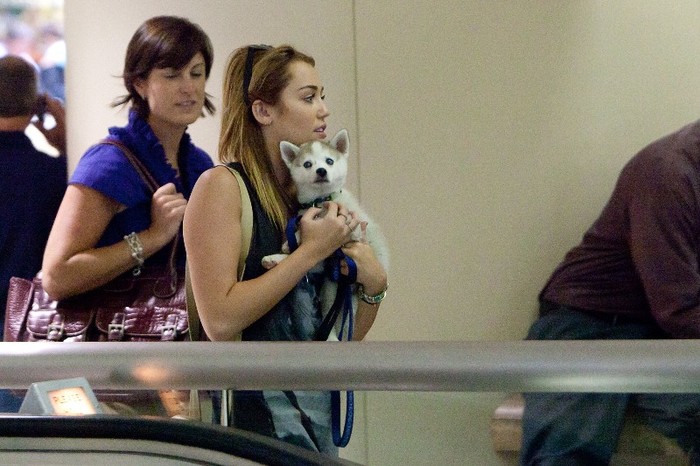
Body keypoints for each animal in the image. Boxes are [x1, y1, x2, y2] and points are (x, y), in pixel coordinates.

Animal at [262, 129, 388, 340]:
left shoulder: (352, 226)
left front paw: (295, 237)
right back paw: (274, 259)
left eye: (329, 161)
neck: (321, 201)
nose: (321, 171)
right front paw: (292, 239)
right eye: (307, 164)